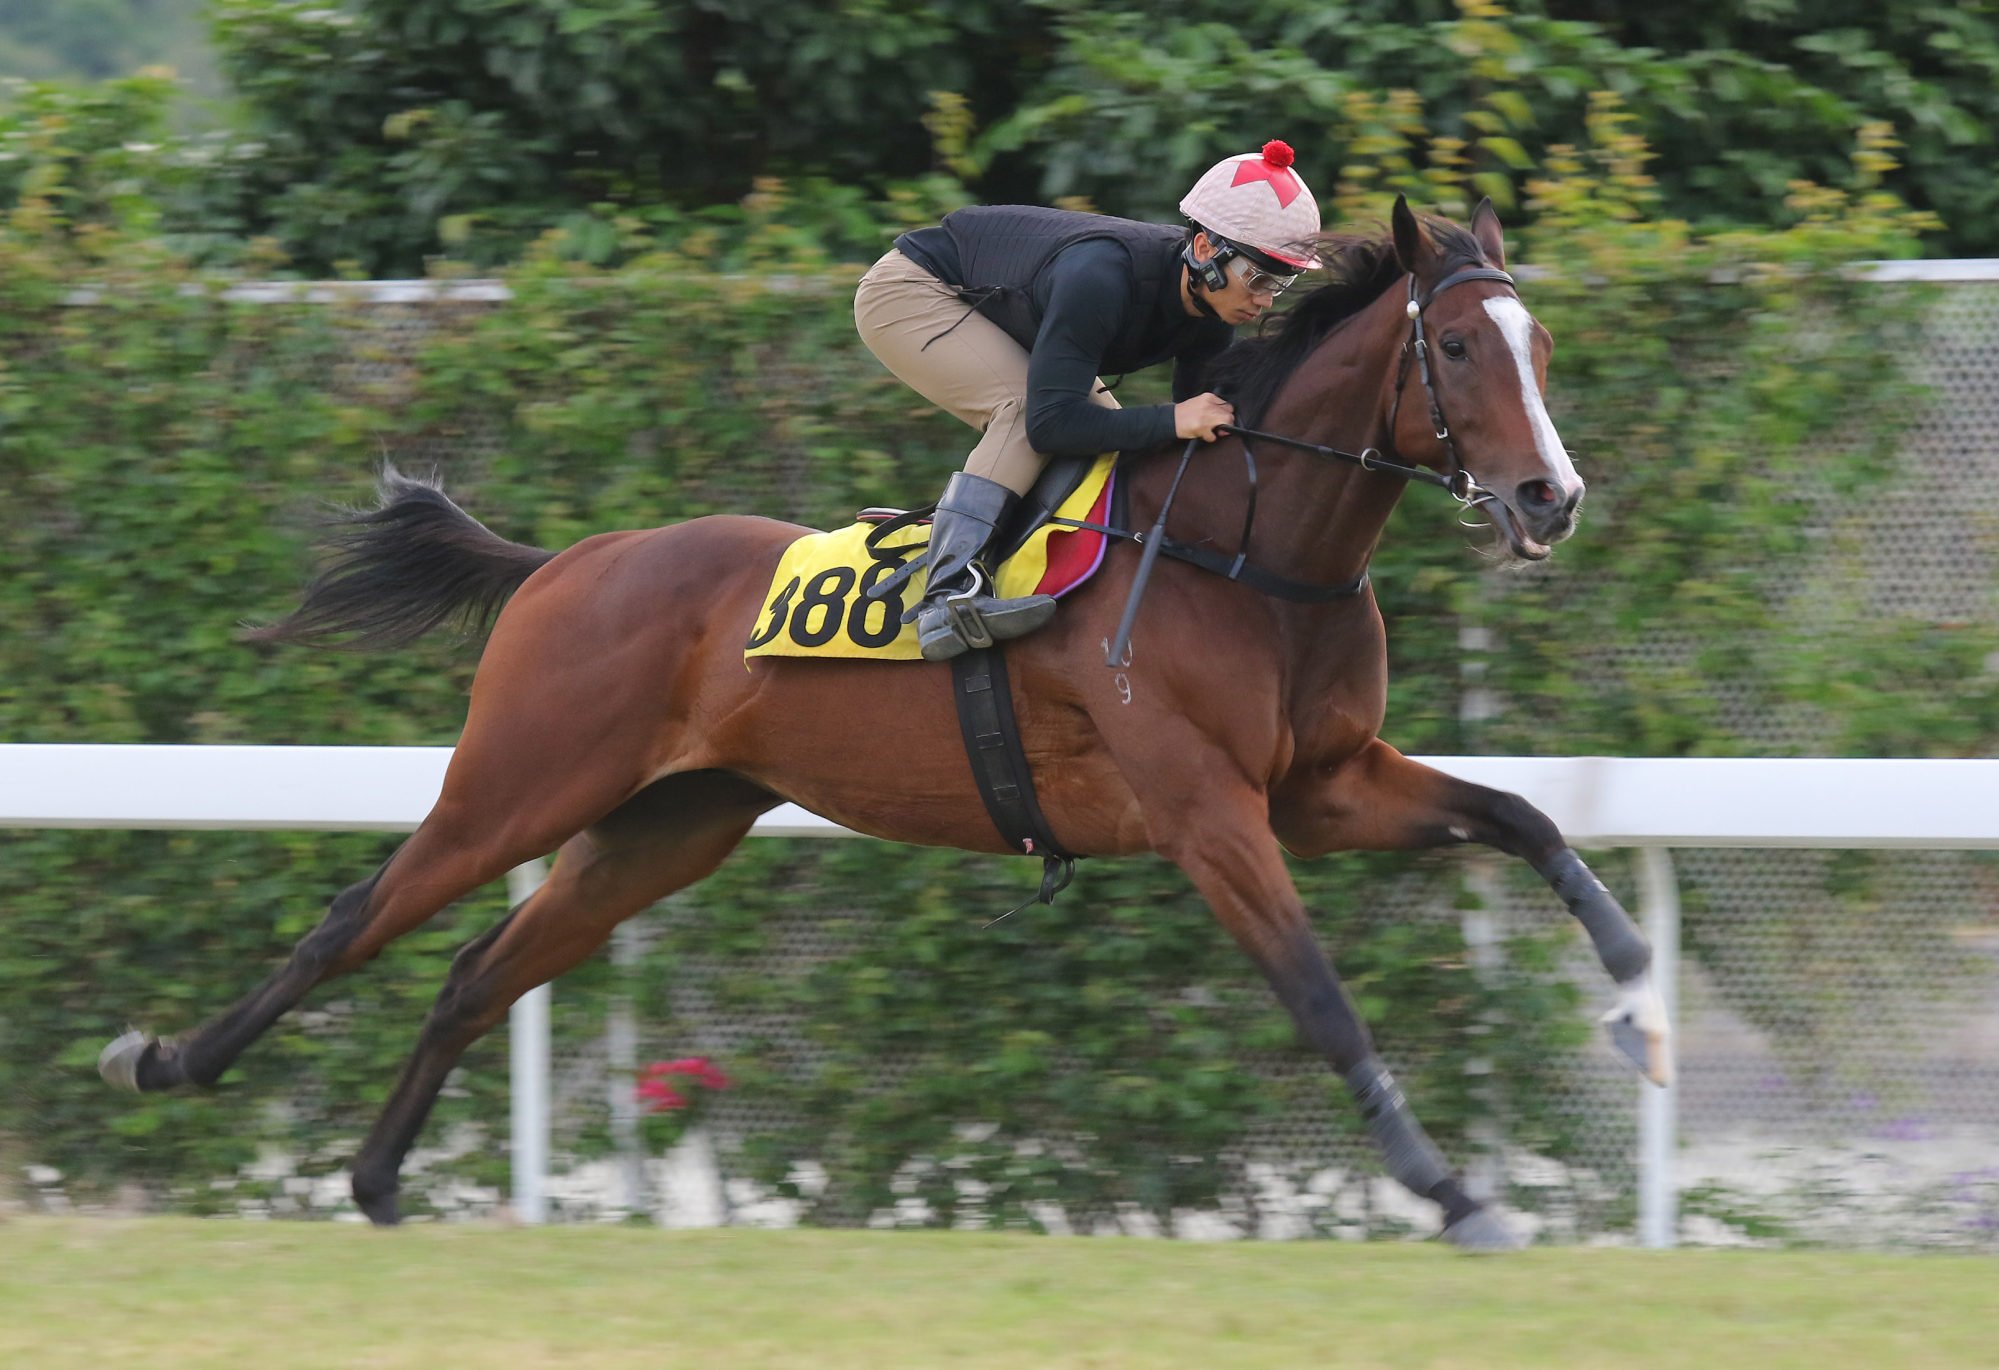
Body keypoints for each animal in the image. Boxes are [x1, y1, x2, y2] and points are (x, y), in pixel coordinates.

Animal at [105, 195, 1671, 1248]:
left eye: (1537, 342)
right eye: (1457, 343)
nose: (1549, 499)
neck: (1246, 553)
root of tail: (561, 561)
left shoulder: (1323, 785)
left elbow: (1523, 815)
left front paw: (1635, 998)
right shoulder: (1207, 811)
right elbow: (1319, 992)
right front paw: (1454, 1192)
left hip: (663, 825)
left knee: (477, 969)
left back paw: (375, 1180)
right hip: (520, 779)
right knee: (355, 919)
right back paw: (168, 1060)